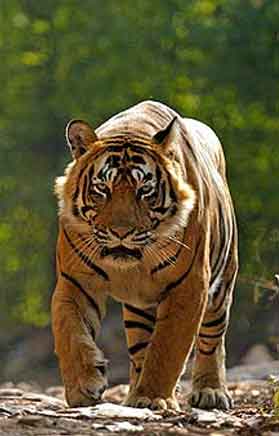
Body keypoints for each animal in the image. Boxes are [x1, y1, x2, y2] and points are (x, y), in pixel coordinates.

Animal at [52, 100, 238, 410]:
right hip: (139, 309)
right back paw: (132, 396)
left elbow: (167, 349)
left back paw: (210, 392)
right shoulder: (75, 281)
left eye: (144, 190)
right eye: (102, 189)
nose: (121, 232)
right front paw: (83, 387)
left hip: (221, 285)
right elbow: (69, 333)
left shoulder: (189, 286)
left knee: (212, 338)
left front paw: (153, 397)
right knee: (141, 349)